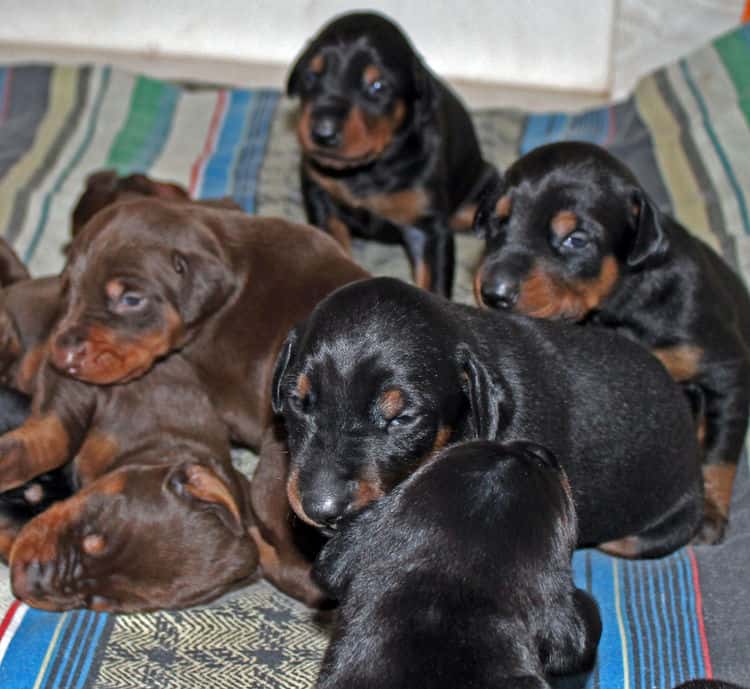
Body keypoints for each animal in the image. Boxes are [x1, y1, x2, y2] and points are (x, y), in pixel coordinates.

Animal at [288, 10, 500, 296]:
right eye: (311, 76)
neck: (367, 171)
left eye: (378, 86)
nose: (323, 132)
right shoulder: (321, 198)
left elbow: (432, 281)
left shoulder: (428, 226)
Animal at [476, 142, 750, 544]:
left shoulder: (724, 370)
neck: (623, 302)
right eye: (498, 222)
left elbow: (720, 449)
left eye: (576, 239)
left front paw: (711, 510)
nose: (492, 293)